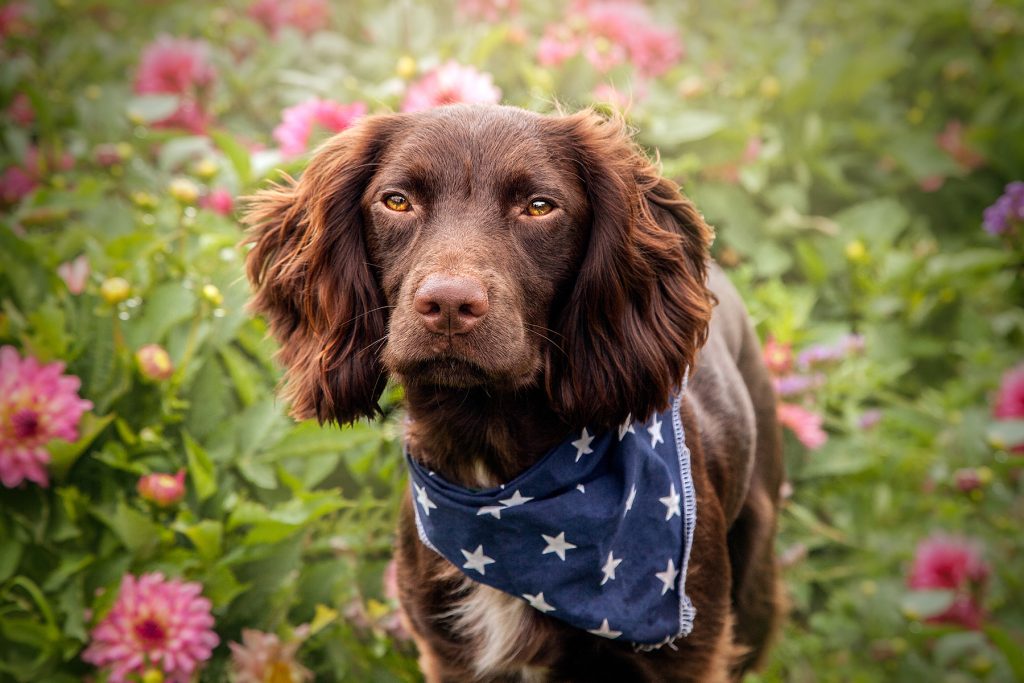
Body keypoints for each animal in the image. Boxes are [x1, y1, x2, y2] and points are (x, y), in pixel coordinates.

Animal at [245, 104, 782, 679]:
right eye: (396, 200)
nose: (449, 304)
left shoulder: (692, 655)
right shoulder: (449, 653)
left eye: (539, 206)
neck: (497, 478)